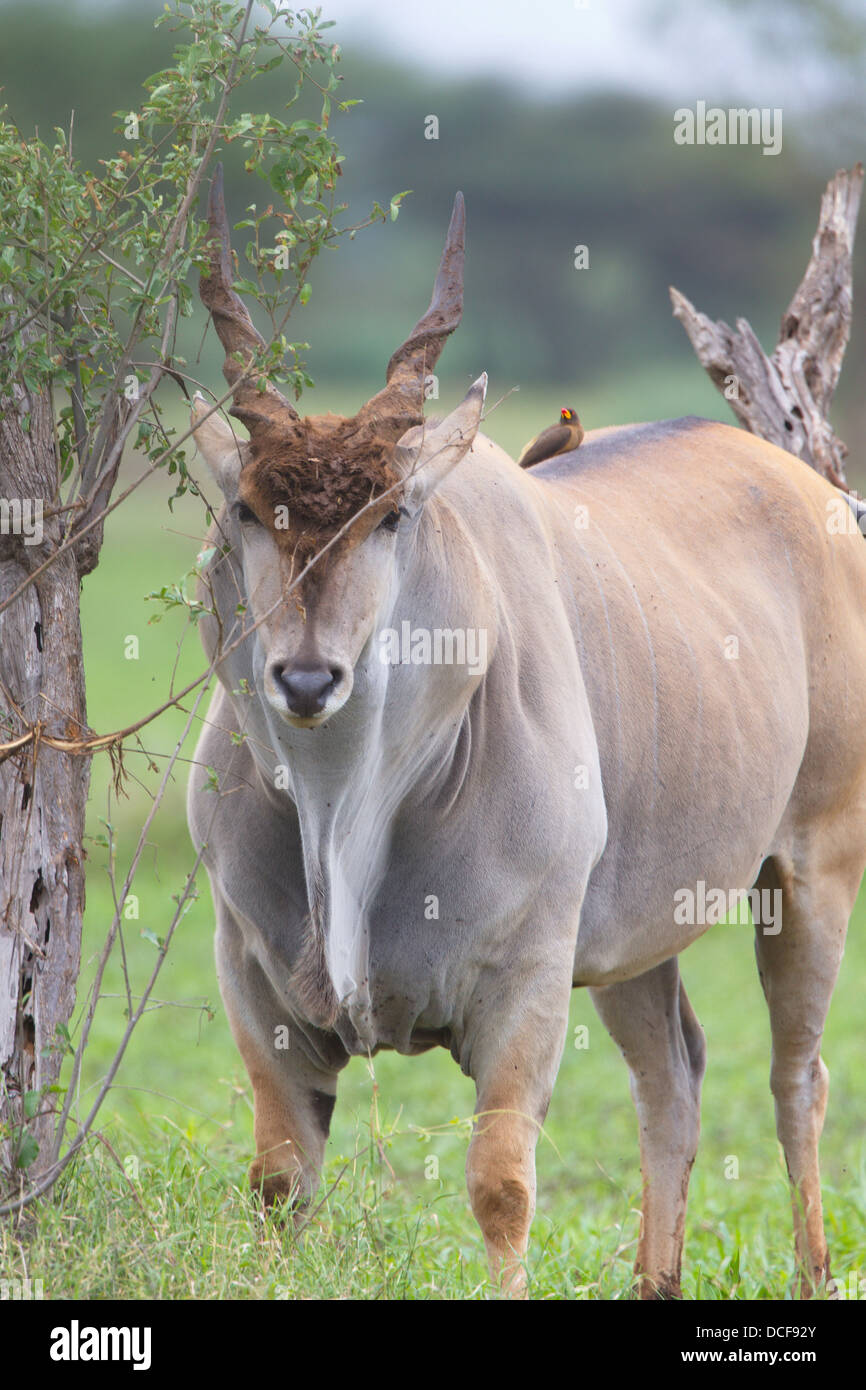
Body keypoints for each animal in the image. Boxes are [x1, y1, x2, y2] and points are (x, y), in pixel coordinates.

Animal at [187, 168, 866, 1295]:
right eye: (244, 509)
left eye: (391, 516)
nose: (307, 677)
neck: (347, 804)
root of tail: (817, 494)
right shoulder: (254, 984)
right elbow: (280, 1187)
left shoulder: (527, 984)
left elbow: (501, 1188)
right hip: (634, 938)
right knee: (673, 1077)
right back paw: (654, 1279)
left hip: (811, 869)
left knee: (796, 1076)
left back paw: (813, 1269)